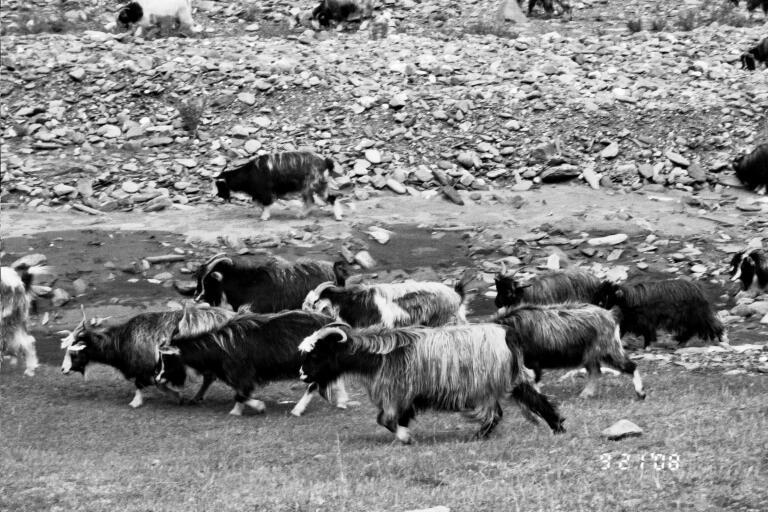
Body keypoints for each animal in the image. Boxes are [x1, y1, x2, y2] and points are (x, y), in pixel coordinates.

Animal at [60, 306, 234, 407]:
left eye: (74, 352)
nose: (63, 369)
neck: (120, 341)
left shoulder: (147, 368)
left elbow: (142, 384)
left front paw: (135, 402)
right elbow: (157, 384)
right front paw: (178, 397)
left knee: (210, 377)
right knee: (209, 378)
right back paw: (197, 398)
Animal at [155, 309, 349, 416]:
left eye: (169, 361)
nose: (158, 379)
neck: (220, 346)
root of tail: (331, 323)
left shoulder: (242, 373)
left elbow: (240, 394)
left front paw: (259, 407)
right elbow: (240, 393)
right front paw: (236, 411)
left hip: (313, 364)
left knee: (314, 384)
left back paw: (297, 410)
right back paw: (342, 401)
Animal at [298, 323, 566, 444]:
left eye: (316, 354)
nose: (302, 374)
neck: (378, 356)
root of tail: (507, 335)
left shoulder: (396, 393)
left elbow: (385, 420)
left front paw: (406, 437)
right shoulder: (406, 397)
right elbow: (398, 418)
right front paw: (406, 433)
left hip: (484, 387)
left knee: (495, 414)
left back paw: (477, 436)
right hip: (516, 378)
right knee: (537, 400)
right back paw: (558, 428)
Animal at [494, 303, 645, 399]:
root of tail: (611, 314)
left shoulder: (532, 361)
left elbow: (534, 379)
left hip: (608, 349)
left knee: (631, 366)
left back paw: (640, 392)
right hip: (590, 355)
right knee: (595, 372)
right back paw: (586, 394)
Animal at [593, 279, 727, 349]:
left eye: (605, 298)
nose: (596, 310)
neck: (626, 300)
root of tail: (699, 289)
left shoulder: (644, 321)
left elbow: (647, 333)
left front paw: (646, 346)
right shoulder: (629, 320)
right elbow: (620, 331)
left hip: (696, 315)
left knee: (710, 325)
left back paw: (720, 339)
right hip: (690, 317)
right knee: (692, 330)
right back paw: (680, 341)